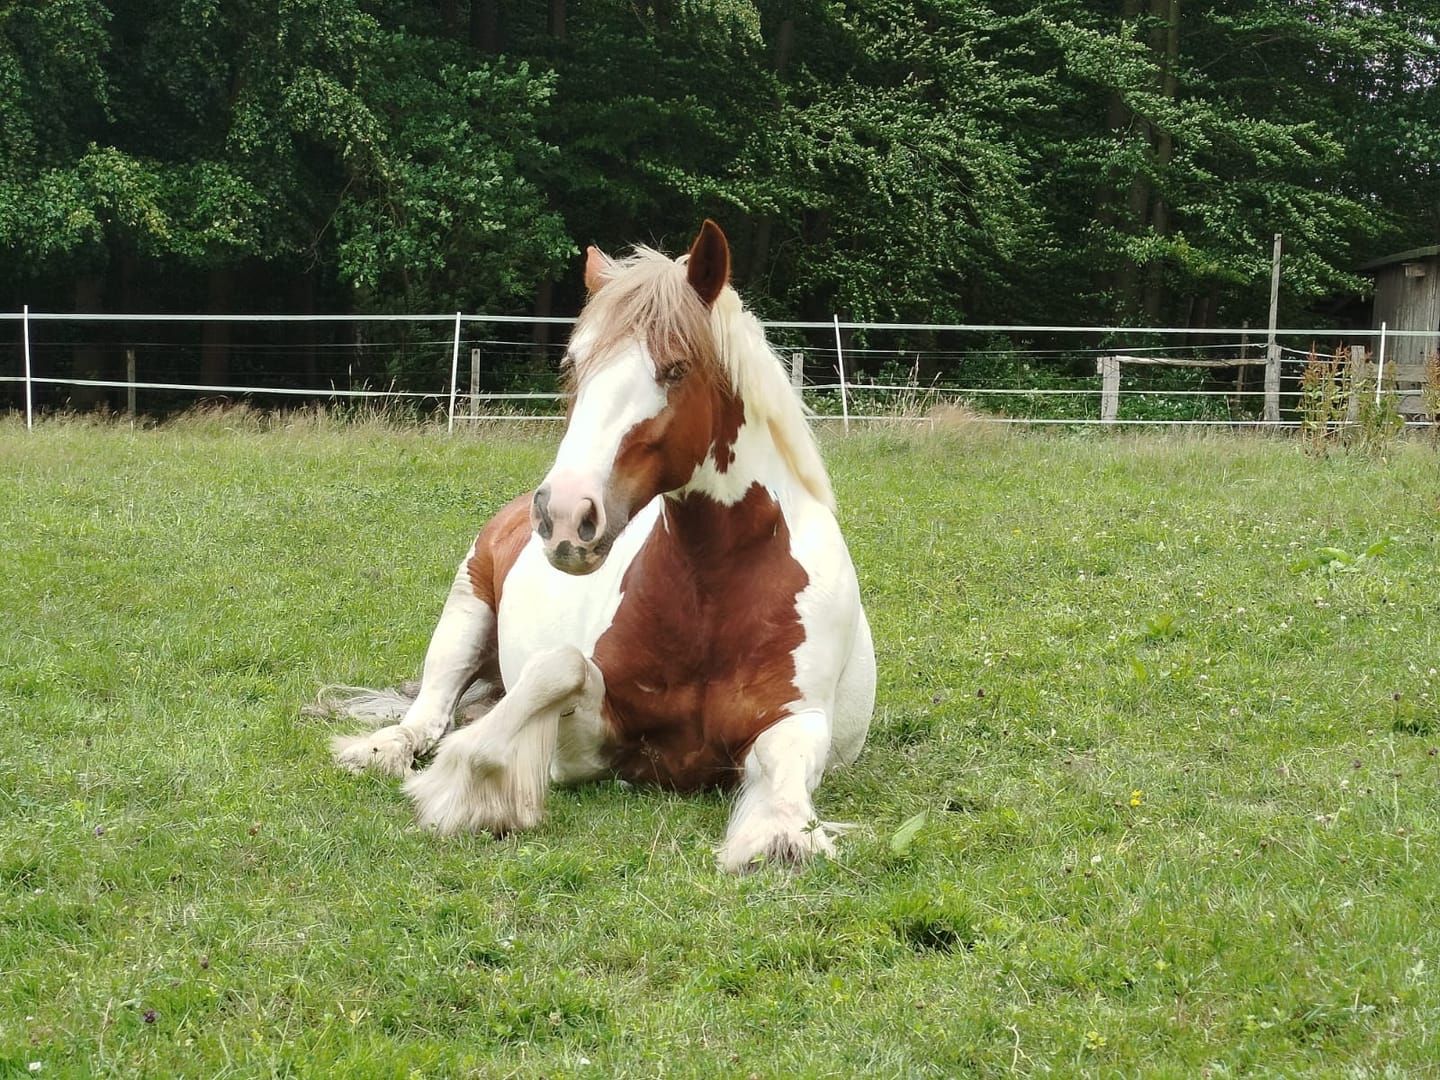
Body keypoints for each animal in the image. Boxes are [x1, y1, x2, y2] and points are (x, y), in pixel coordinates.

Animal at [326, 221, 875, 872]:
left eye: (676, 368)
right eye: (573, 364)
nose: (564, 515)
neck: (713, 591)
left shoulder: (798, 722)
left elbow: (782, 793)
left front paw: (779, 837)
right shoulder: (586, 753)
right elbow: (559, 668)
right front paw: (473, 785)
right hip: (463, 614)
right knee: (428, 714)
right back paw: (381, 749)